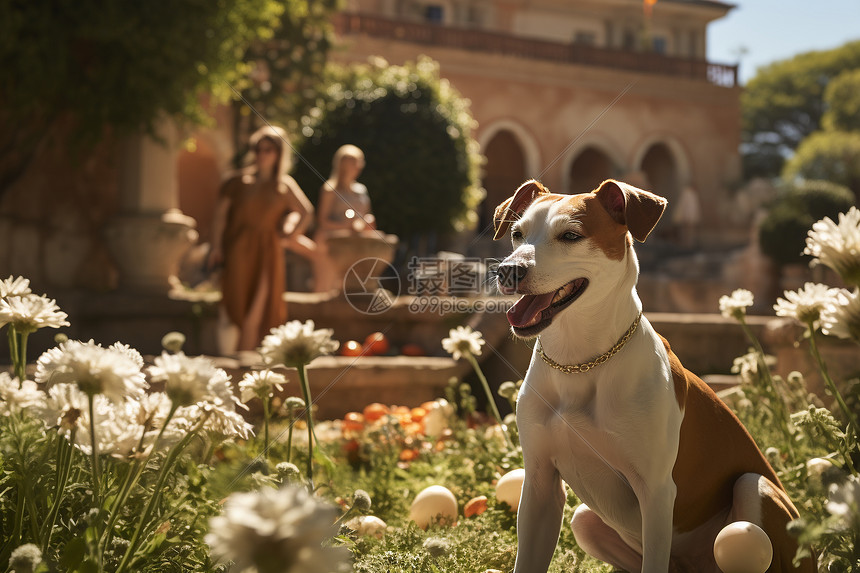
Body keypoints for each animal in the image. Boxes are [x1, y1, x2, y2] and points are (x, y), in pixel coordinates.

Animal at [494, 180, 808, 572]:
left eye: (570, 235)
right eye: (516, 234)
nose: (508, 271)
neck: (579, 360)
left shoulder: (656, 490)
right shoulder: (539, 484)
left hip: (755, 490)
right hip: (584, 520)